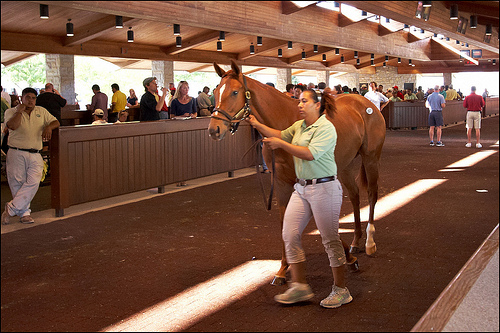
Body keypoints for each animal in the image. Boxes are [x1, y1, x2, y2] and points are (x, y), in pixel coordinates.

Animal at [207, 59, 386, 282]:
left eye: (234, 92)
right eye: (216, 91)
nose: (214, 130)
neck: (284, 119)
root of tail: (368, 105)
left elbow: (317, 220)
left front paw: (348, 259)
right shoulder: (281, 182)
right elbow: (285, 221)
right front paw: (283, 269)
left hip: (371, 159)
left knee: (371, 194)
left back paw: (369, 243)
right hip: (345, 166)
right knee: (354, 196)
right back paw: (355, 242)